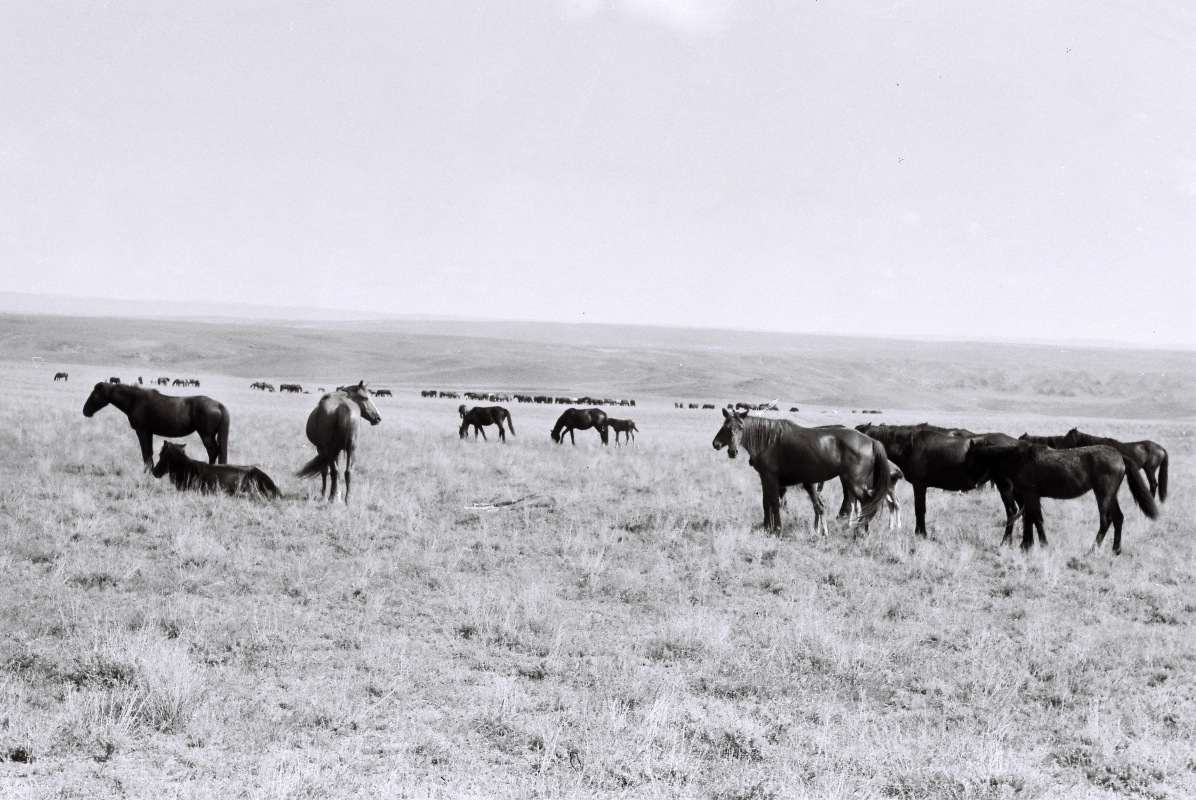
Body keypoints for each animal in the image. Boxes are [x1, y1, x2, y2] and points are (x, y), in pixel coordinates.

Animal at [82, 380, 230, 468]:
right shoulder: (149, 432)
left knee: (213, 451)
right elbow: (149, 452)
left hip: (206, 435)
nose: (85, 411)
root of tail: (218, 405)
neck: (135, 400)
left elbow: (146, 452)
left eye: (95, 394)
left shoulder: (142, 431)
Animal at [708, 408, 889, 533]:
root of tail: (871, 441)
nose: (731, 451)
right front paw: (766, 527)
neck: (768, 440)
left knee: (867, 504)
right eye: (725, 426)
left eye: (741, 428)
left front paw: (777, 529)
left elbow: (774, 503)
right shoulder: (765, 477)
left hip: (854, 483)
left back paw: (861, 533)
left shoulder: (771, 477)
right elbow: (766, 502)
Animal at [961, 440, 1157, 552]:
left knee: (1106, 520)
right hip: (1112, 495)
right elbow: (1029, 519)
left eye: (970, 459)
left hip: (1102, 495)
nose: (968, 483)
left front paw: (1043, 545)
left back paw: (1092, 550)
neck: (1018, 459)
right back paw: (1115, 550)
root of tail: (1120, 456)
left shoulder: (1031, 495)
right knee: (1118, 519)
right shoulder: (1029, 497)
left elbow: (1036, 519)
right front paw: (1026, 545)